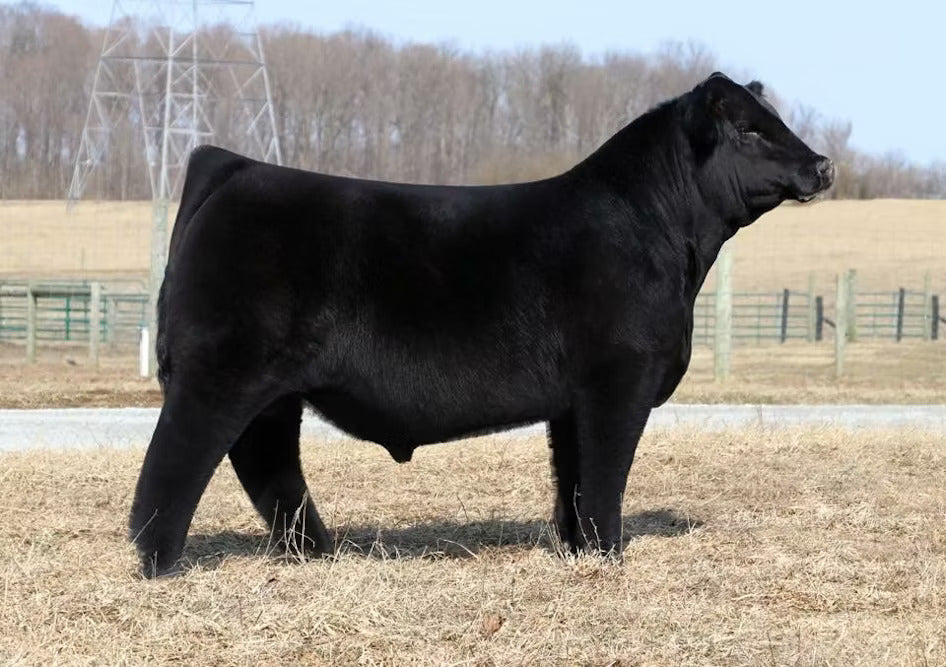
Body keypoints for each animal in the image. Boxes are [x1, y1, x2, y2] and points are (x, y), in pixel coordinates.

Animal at [129, 72, 834, 577]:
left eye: (777, 122)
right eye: (749, 130)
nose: (823, 164)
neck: (659, 231)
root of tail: (235, 167)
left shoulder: (572, 399)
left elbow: (573, 478)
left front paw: (578, 550)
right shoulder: (619, 379)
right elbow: (606, 471)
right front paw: (610, 555)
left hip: (274, 391)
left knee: (266, 460)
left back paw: (317, 553)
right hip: (221, 372)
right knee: (178, 459)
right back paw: (159, 564)